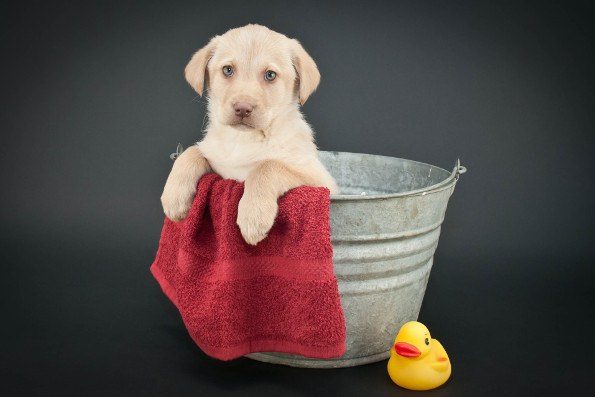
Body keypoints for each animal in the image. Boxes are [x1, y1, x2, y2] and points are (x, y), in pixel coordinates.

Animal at [162, 24, 340, 244]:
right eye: (227, 70)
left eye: (270, 75)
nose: (243, 108)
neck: (243, 139)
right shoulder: (219, 165)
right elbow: (191, 152)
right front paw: (174, 196)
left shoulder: (318, 179)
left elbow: (267, 166)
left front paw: (254, 215)